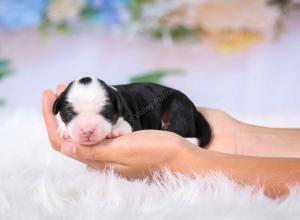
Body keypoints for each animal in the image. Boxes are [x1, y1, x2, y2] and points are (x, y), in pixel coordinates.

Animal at [52, 76, 211, 148]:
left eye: (106, 112)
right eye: (70, 112)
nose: (88, 131)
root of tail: (194, 109)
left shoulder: (132, 120)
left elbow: (126, 125)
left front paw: (115, 130)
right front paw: (63, 130)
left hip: (177, 106)